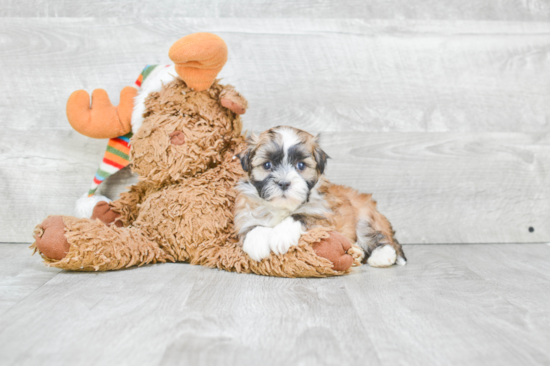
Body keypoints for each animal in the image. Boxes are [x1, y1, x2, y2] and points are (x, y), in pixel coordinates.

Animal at [235, 125, 408, 266]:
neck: (283, 207)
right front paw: (256, 243)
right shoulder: (245, 213)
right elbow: (252, 225)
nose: (284, 183)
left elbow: (300, 216)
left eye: (301, 165)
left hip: (365, 218)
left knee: (378, 237)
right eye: (267, 165)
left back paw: (382, 256)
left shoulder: (325, 217)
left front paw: (281, 236)